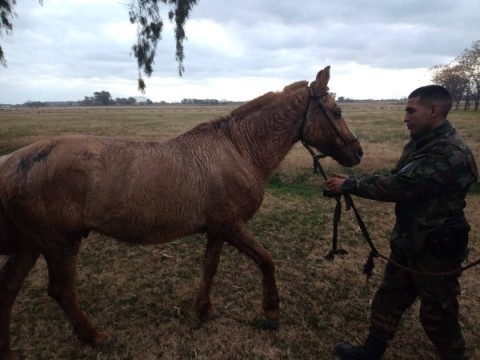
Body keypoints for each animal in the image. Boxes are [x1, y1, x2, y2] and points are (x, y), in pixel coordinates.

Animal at [0, 66, 360, 358]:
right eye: (336, 111)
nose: (357, 152)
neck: (238, 150)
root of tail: (13, 162)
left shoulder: (218, 228)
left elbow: (210, 268)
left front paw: (205, 310)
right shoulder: (233, 226)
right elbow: (266, 260)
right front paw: (271, 314)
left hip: (33, 244)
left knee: (10, 287)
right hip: (59, 243)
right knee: (61, 290)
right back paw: (95, 336)